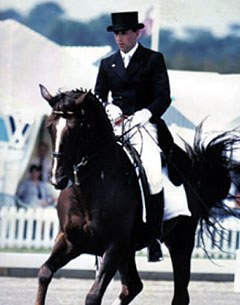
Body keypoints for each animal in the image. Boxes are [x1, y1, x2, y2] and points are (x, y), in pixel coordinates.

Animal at [35, 84, 238, 304]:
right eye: (49, 127)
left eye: (76, 129)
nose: (57, 179)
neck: (87, 192)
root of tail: (194, 170)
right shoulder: (70, 241)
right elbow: (44, 273)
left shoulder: (114, 247)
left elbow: (93, 296)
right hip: (130, 251)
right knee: (132, 286)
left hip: (180, 239)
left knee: (179, 295)